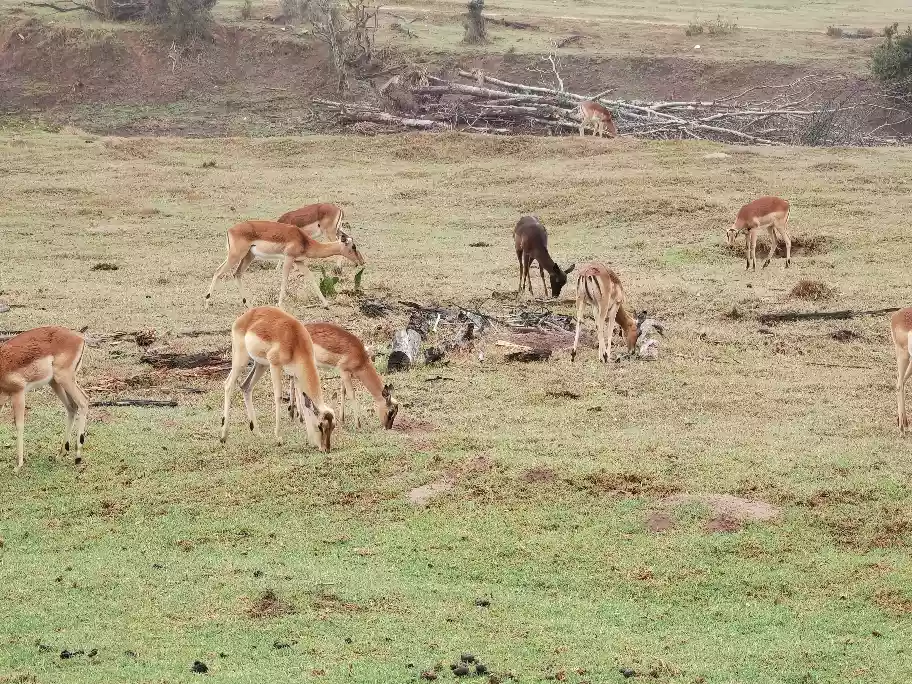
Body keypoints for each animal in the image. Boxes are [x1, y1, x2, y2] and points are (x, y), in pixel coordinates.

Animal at [0, 326, 89, 471]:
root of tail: (79, 337)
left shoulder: (18, 393)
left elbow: (19, 425)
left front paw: (18, 465)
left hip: (64, 379)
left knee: (83, 401)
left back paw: (77, 456)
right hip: (56, 382)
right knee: (72, 407)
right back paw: (60, 454)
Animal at [204, 220, 365, 310]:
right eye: (353, 246)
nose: (362, 261)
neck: (304, 240)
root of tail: (230, 230)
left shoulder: (299, 261)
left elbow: (311, 279)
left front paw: (326, 304)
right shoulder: (289, 259)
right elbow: (284, 280)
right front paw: (280, 305)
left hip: (248, 256)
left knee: (236, 274)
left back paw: (249, 305)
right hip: (236, 256)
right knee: (218, 271)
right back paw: (207, 302)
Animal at [222, 306, 335, 451]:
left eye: (332, 427)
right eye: (320, 425)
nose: (326, 449)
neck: (295, 341)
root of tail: (244, 317)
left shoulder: (297, 376)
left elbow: (303, 402)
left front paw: (310, 440)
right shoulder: (275, 365)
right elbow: (278, 397)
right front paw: (278, 438)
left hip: (261, 365)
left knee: (246, 387)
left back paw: (258, 433)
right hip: (242, 360)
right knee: (228, 385)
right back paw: (223, 436)